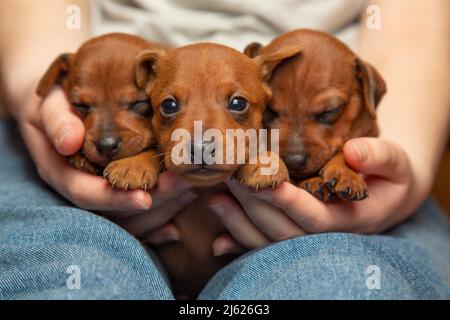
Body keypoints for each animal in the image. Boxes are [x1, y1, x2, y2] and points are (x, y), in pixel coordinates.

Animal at [246, 28, 386, 201]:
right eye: (270, 110)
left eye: (329, 111)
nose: (294, 161)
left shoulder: (369, 133)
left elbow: (344, 151)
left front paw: (345, 174)